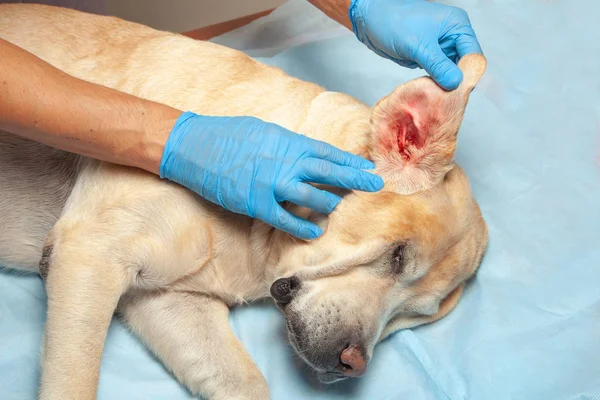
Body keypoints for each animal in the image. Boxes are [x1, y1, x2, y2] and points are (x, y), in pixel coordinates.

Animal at [0, 3, 488, 400]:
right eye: (398, 255)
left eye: (413, 314)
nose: (352, 364)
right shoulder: (89, 255)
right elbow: (73, 383)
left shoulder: (165, 299)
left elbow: (246, 382)